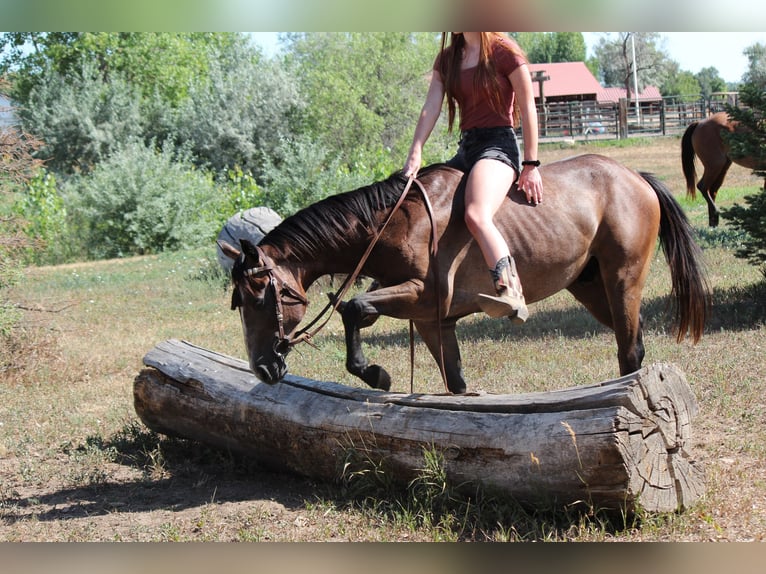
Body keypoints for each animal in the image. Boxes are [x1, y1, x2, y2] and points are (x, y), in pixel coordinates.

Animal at [219, 154, 709, 395]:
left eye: (260, 294)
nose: (263, 368)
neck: (394, 225)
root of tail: (635, 177)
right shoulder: (430, 320)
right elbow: (454, 381)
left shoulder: (420, 295)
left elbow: (353, 307)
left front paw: (374, 373)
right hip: (590, 287)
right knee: (633, 340)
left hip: (622, 279)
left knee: (630, 349)